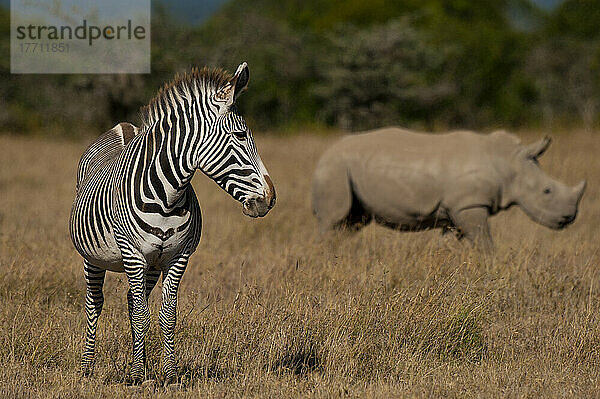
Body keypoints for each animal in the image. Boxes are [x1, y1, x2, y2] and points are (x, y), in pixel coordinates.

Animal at [69, 61, 276, 384]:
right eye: (241, 135)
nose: (269, 198)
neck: (167, 196)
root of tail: (122, 126)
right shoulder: (133, 255)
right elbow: (142, 315)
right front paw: (138, 376)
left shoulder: (178, 257)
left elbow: (166, 315)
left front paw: (168, 373)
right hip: (94, 257)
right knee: (95, 304)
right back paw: (87, 367)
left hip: (153, 264)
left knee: (132, 300)